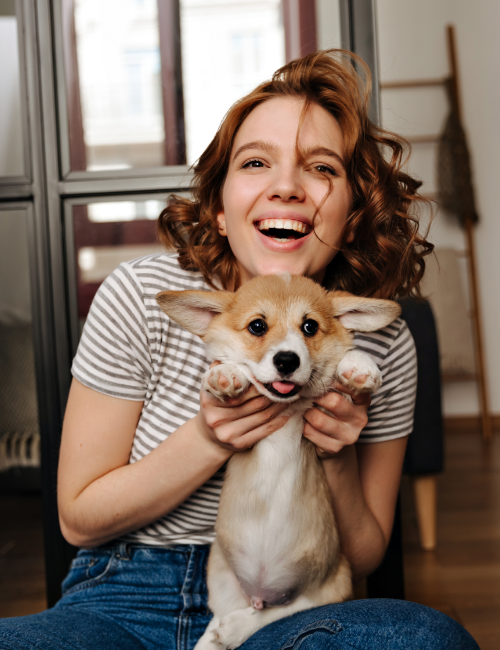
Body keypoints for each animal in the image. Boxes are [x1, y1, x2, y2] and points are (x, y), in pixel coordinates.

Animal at [157, 274, 402, 648]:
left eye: (310, 326)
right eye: (257, 326)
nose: (287, 360)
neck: (287, 406)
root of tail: (261, 594)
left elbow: (347, 353)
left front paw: (359, 366)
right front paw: (226, 374)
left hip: (334, 585)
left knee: (286, 610)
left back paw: (236, 627)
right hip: (221, 580)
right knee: (220, 623)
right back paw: (219, 633)